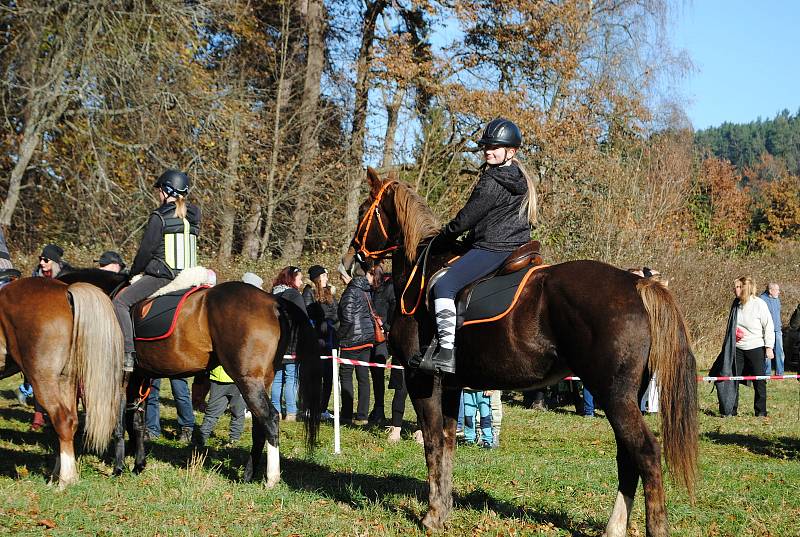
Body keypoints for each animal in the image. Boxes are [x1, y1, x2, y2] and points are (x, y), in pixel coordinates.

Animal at [0, 276, 122, 486]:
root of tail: (65, 291)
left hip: (43, 378)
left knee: (62, 419)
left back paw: (65, 480)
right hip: (65, 380)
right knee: (70, 422)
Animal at [59, 270, 322, 484]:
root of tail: (273, 301)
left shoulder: (118, 379)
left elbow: (120, 423)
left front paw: (119, 467)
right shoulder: (137, 378)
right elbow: (136, 420)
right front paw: (138, 464)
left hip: (247, 380)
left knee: (270, 419)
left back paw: (271, 478)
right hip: (259, 382)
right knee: (260, 424)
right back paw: (249, 475)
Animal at [344, 169, 700, 536]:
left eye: (363, 210)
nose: (352, 261)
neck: (420, 276)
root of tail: (638, 285)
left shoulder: (421, 381)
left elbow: (432, 444)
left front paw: (431, 515)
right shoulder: (452, 386)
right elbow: (447, 444)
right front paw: (443, 510)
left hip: (614, 395)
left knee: (645, 453)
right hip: (624, 397)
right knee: (627, 458)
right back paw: (614, 527)